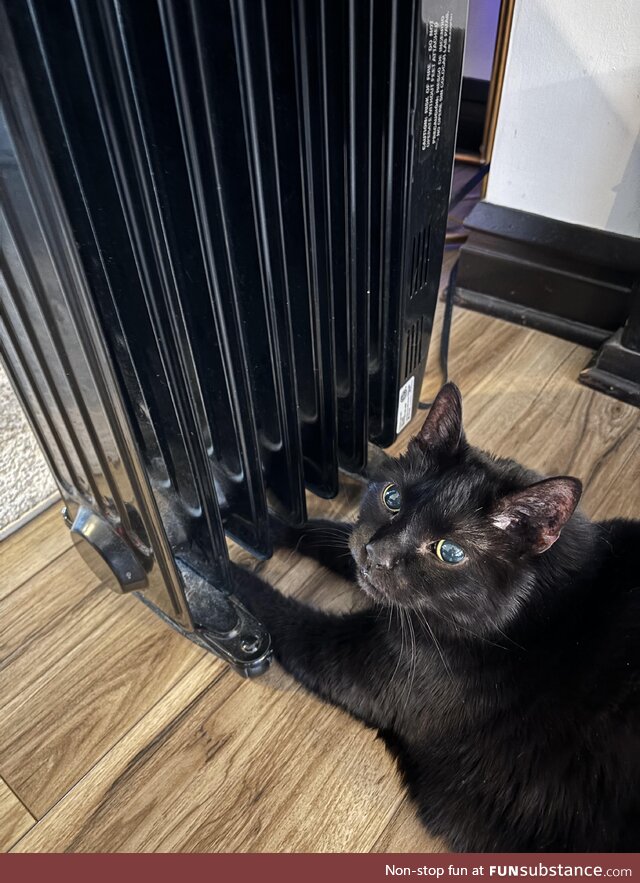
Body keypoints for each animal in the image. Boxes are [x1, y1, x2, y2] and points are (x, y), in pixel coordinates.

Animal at [231, 384, 640, 852]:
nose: (377, 553)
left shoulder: (358, 662)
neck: (537, 620)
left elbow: (284, 615)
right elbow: (322, 532)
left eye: (450, 551)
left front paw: (220, 584)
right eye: (391, 498)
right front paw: (263, 528)